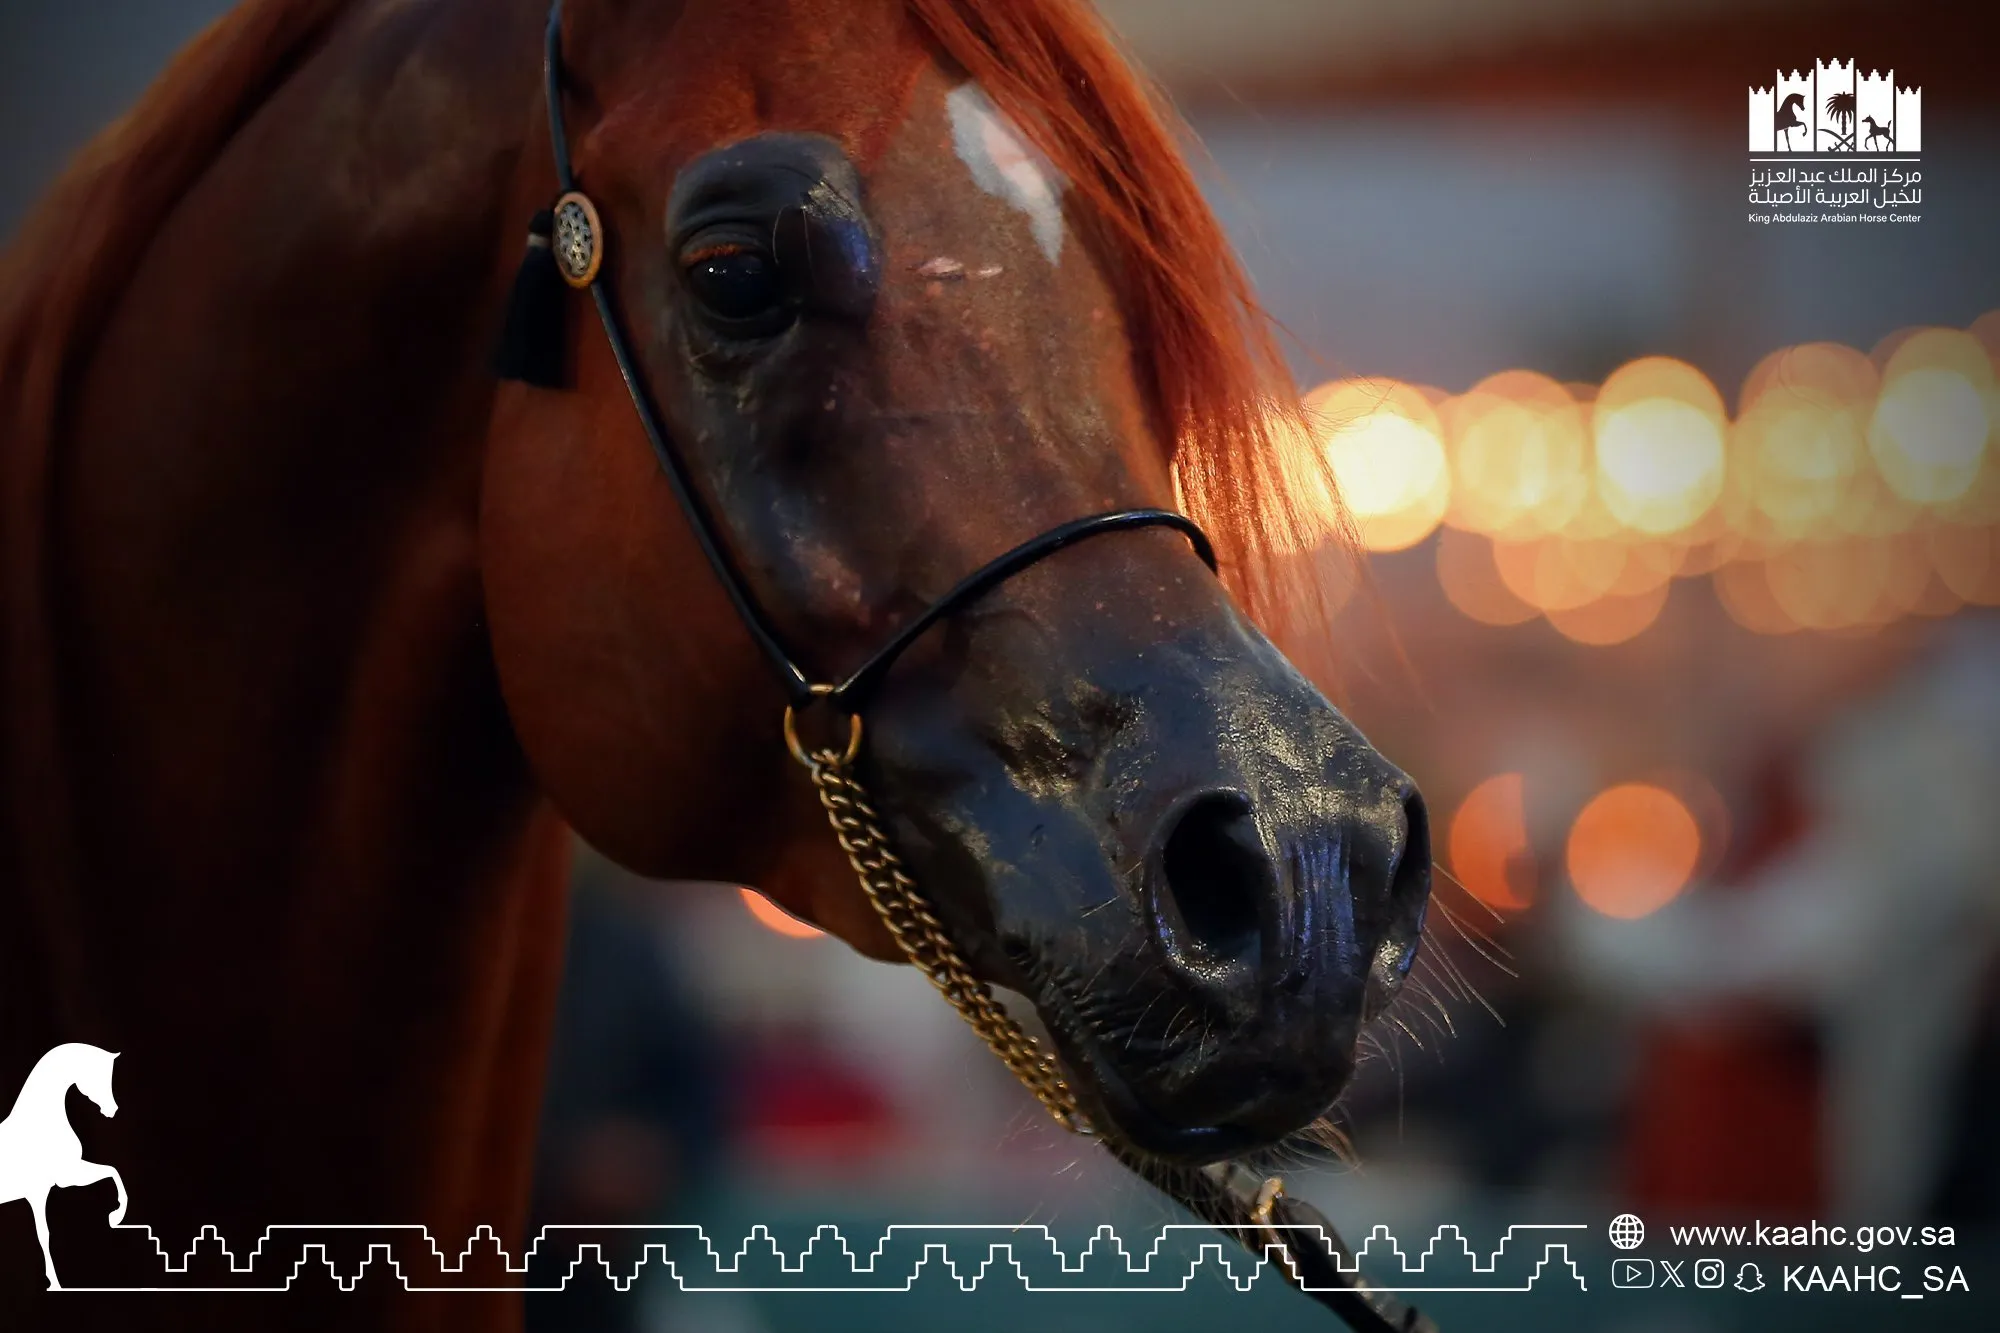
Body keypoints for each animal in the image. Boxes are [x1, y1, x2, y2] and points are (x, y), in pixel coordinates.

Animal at [0, 1045, 127, 1291]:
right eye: (99, 1075)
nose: (113, 1110)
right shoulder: (40, 1192)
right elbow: (44, 1235)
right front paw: (55, 1283)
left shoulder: (68, 1176)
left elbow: (113, 1171)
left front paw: (115, 1217)